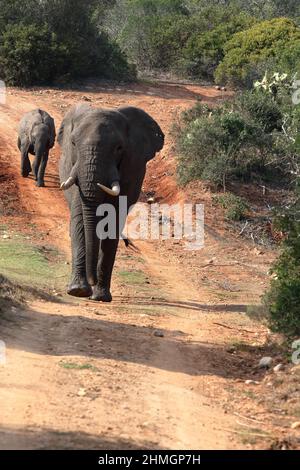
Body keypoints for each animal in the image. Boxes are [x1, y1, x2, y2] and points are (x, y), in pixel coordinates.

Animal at [58, 103, 164, 302]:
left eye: (119, 148)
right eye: (74, 143)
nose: (91, 281)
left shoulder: (131, 168)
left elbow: (112, 220)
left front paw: (100, 296)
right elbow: (79, 216)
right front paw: (78, 291)